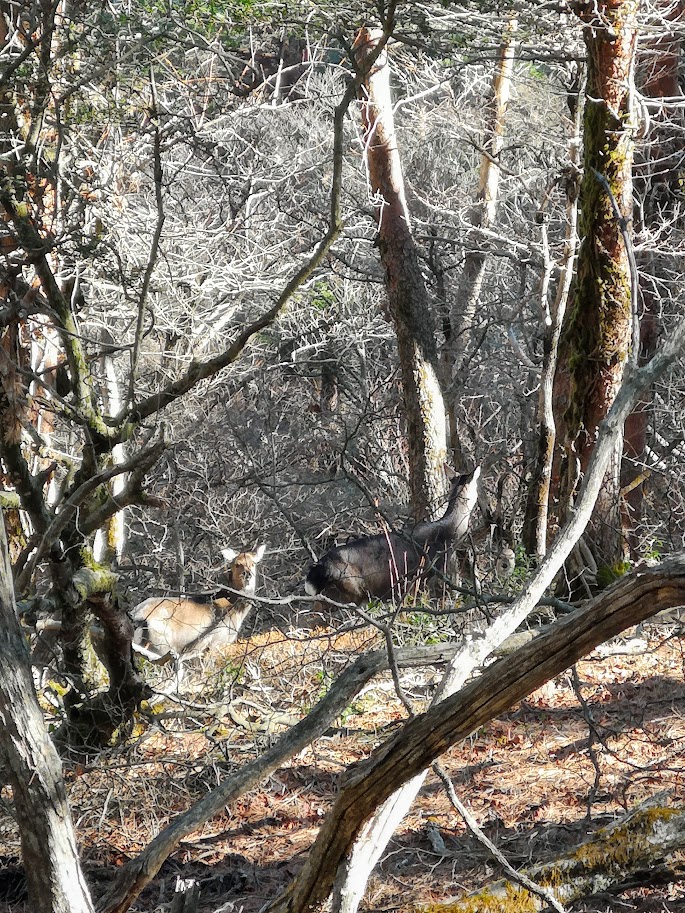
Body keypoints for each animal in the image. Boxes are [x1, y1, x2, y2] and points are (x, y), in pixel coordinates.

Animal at [130, 540, 266, 664]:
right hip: (161, 644)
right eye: (237, 564)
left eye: (253, 563)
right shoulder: (216, 642)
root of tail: (138, 616)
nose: (247, 574)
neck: (235, 609)